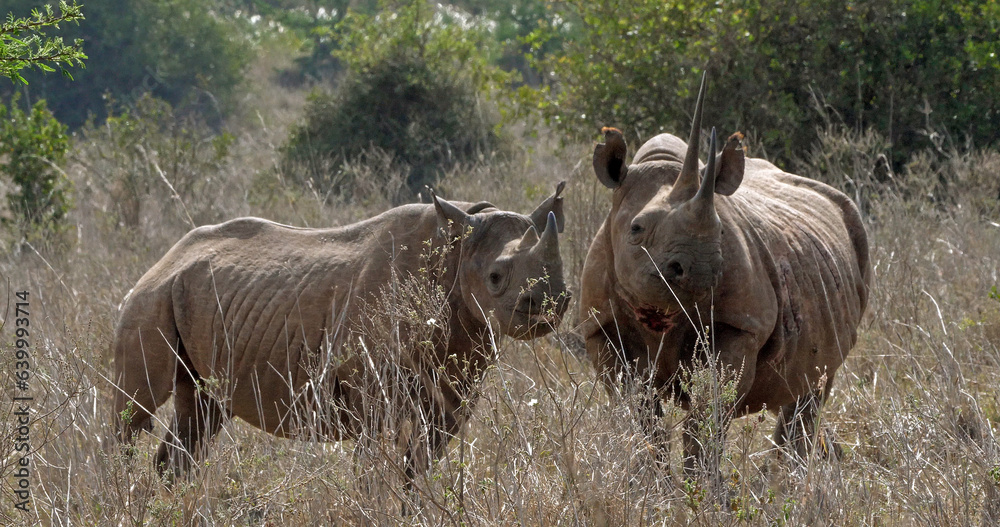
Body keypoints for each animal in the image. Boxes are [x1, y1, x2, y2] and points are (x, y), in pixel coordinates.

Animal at [113, 184, 569, 479]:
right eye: (495, 277)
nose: (551, 305)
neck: (455, 252)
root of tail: (165, 258)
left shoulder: (453, 391)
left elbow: (416, 472)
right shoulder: (373, 393)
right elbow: (375, 471)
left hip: (198, 300)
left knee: (200, 411)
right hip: (150, 297)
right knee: (134, 411)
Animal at [581, 74, 870, 474]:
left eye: (720, 230)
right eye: (636, 229)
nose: (701, 268)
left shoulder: (741, 322)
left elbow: (708, 413)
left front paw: (699, 486)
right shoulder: (600, 326)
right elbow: (641, 416)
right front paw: (651, 483)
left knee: (814, 387)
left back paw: (785, 480)